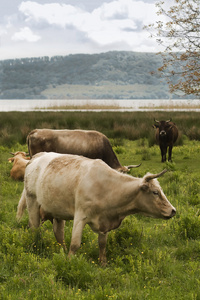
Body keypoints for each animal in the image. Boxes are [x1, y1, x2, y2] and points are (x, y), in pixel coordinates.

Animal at [17, 152, 177, 264]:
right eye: (155, 192)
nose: (173, 210)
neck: (107, 188)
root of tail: (37, 156)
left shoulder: (104, 222)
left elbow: (102, 244)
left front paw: (103, 263)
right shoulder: (80, 217)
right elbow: (75, 244)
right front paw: (69, 262)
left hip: (57, 211)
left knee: (59, 234)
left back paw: (61, 251)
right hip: (32, 201)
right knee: (34, 228)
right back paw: (36, 246)